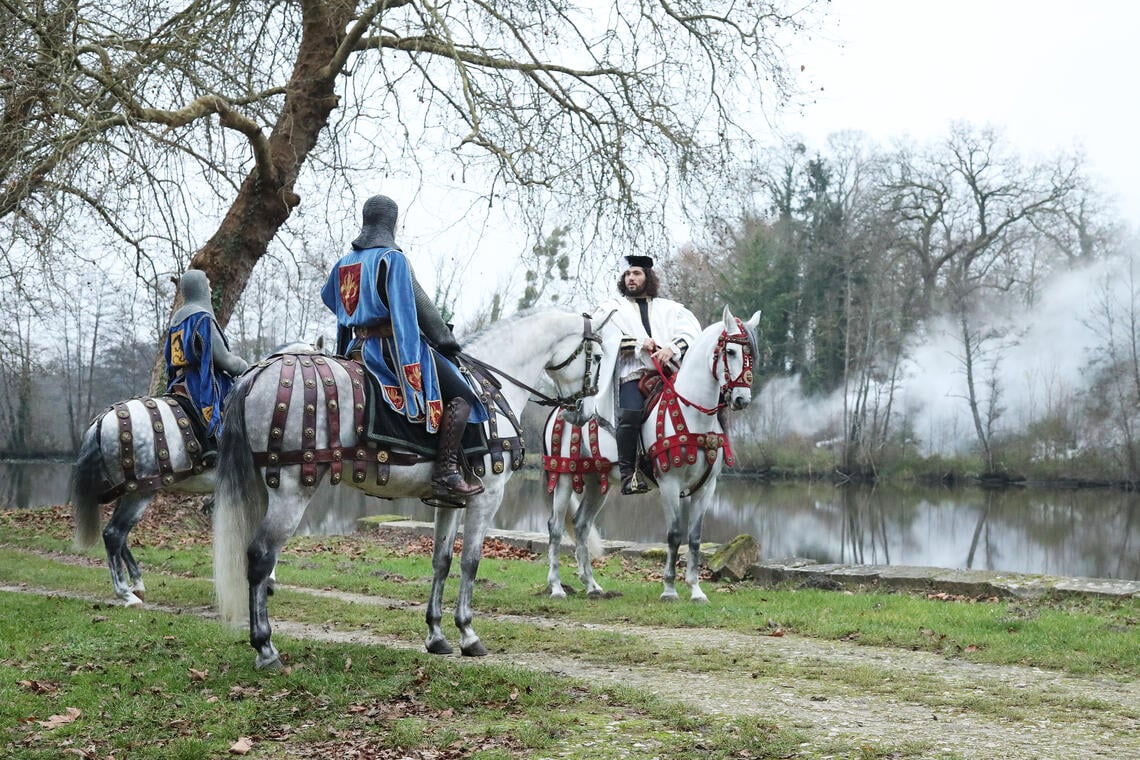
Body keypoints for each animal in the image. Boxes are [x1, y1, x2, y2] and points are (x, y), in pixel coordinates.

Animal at [72, 344, 316, 606]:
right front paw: (266, 581)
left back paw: (137, 585)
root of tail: (101, 421)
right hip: (141, 493)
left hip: (131, 490)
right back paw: (126, 594)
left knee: (120, 536)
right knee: (114, 534)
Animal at [212, 305, 606, 669]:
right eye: (599, 357)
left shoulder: (450, 500)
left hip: (263, 490)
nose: (584, 414)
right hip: (292, 492)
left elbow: (442, 561)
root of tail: (255, 374)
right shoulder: (488, 497)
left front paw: (436, 635)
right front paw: (468, 634)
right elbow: (471, 562)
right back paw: (265, 648)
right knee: (261, 555)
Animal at [540, 305, 756, 601]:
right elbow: (674, 534)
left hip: (597, 483)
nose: (741, 400)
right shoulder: (669, 483)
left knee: (581, 525)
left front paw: (696, 590)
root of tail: (563, 407)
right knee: (556, 527)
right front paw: (669, 589)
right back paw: (556, 587)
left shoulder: (705, 487)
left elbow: (695, 538)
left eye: (751, 354)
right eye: (731, 352)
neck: (692, 412)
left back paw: (592, 585)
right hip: (563, 477)